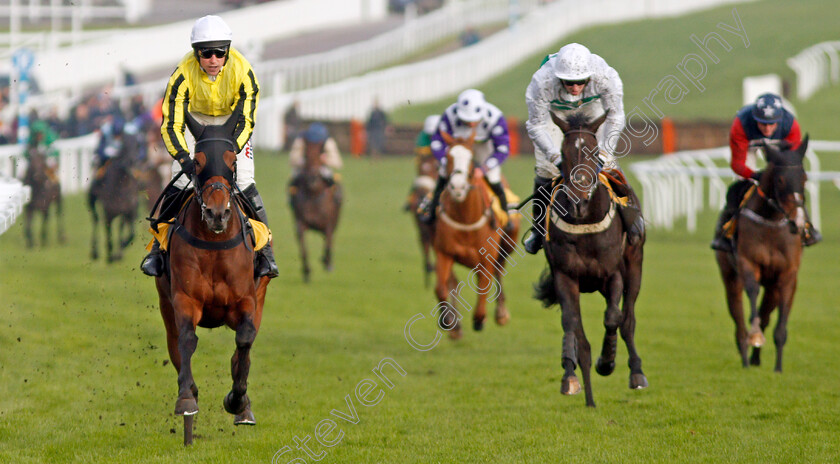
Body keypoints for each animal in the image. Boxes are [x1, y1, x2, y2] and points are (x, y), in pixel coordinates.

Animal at [152, 110, 270, 444]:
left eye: (230, 161)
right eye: (198, 161)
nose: (217, 214)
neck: (215, 242)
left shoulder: (246, 300)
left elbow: (244, 341)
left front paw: (238, 401)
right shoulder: (184, 299)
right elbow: (187, 340)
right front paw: (186, 399)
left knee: (244, 348)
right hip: (165, 303)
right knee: (175, 344)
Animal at [288, 136, 342, 282]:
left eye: (319, 155)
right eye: (306, 155)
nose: (312, 178)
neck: (314, 194)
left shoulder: (328, 224)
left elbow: (328, 244)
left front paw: (327, 262)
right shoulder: (300, 223)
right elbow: (304, 249)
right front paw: (307, 271)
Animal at [434, 129, 520, 338]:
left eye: (471, 158)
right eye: (449, 157)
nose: (458, 187)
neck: (466, 219)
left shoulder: (486, 259)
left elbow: (484, 287)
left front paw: (480, 319)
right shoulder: (444, 252)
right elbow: (441, 288)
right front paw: (447, 320)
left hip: (507, 245)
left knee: (499, 271)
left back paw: (501, 313)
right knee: (453, 282)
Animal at [536, 111, 648, 406]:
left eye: (593, 152)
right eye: (564, 153)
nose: (578, 200)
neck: (585, 223)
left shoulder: (613, 274)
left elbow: (613, 318)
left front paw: (606, 362)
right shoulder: (565, 277)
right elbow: (574, 329)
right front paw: (580, 387)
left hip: (635, 267)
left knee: (628, 319)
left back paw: (636, 372)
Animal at [712, 136, 812, 372]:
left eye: (804, 178)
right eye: (781, 180)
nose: (797, 222)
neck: (772, 222)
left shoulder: (787, 275)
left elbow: (780, 323)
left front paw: (778, 368)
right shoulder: (748, 264)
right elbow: (752, 297)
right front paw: (755, 336)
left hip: (773, 285)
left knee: (766, 313)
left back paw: (756, 358)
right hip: (730, 277)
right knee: (739, 318)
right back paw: (746, 357)